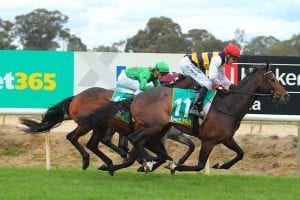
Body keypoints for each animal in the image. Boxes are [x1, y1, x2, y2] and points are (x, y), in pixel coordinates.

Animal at [79, 63, 288, 173]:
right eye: (272, 79)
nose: (285, 96)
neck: (228, 105)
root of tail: (136, 97)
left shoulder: (225, 138)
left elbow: (240, 153)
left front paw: (221, 164)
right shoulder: (209, 140)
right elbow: (199, 164)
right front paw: (176, 165)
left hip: (157, 129)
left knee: (133, 147)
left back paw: (117, 166)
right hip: (153, 127)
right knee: (134, 140)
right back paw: (146, 161)